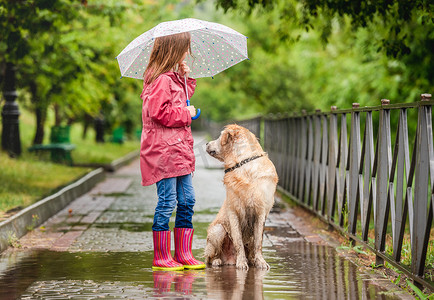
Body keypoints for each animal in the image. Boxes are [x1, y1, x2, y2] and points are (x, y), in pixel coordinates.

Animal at [204, 124, 278, 270]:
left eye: (220, 136)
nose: (206, 143)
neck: (243, 163)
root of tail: (228, 260)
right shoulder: (234, 211)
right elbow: (238, 241)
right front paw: (241, 263)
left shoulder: (261, 212)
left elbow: (258, 242)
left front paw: (261, 262)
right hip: (217, 230)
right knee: (210, 257)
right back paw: (217, 261)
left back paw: (252, 260)